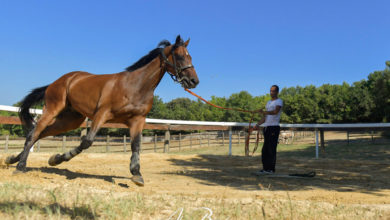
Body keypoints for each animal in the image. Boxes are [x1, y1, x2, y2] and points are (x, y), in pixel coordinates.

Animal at [5, 35, 200, 186]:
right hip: (53, 109)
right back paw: (20, 166)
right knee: (34, 132)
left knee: (41, 133)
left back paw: (12, 159)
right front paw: (58, 158)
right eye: (180, 56)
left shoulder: (138, 120)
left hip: (70, 120)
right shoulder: (102, 114)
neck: (135, 86)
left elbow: (136, 145)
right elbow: (87, 142)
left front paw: (137, 174)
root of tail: (58, 81)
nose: (194, 81)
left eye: (191, 57)